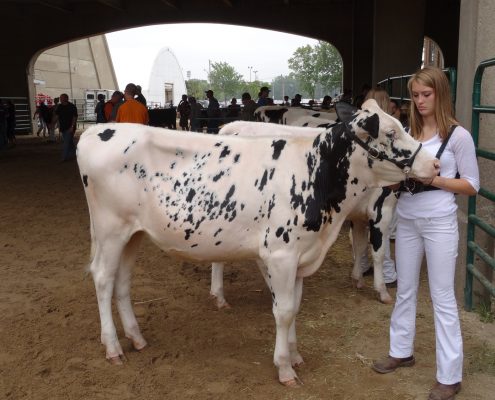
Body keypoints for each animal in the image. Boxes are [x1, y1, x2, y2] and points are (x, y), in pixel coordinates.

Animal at [75, 98, 440, 386]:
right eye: (391, 133)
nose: (435, 163)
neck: (315, 173)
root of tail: (96, 132)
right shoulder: (281, 254)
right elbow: (284, 311)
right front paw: (285, 368)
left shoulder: (300, 256)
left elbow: (294, 307)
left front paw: (294, 355)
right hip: (110, 230)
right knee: (103, 279)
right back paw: (113, 347)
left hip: (132, 233)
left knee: (122, 281)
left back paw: (136, 338)